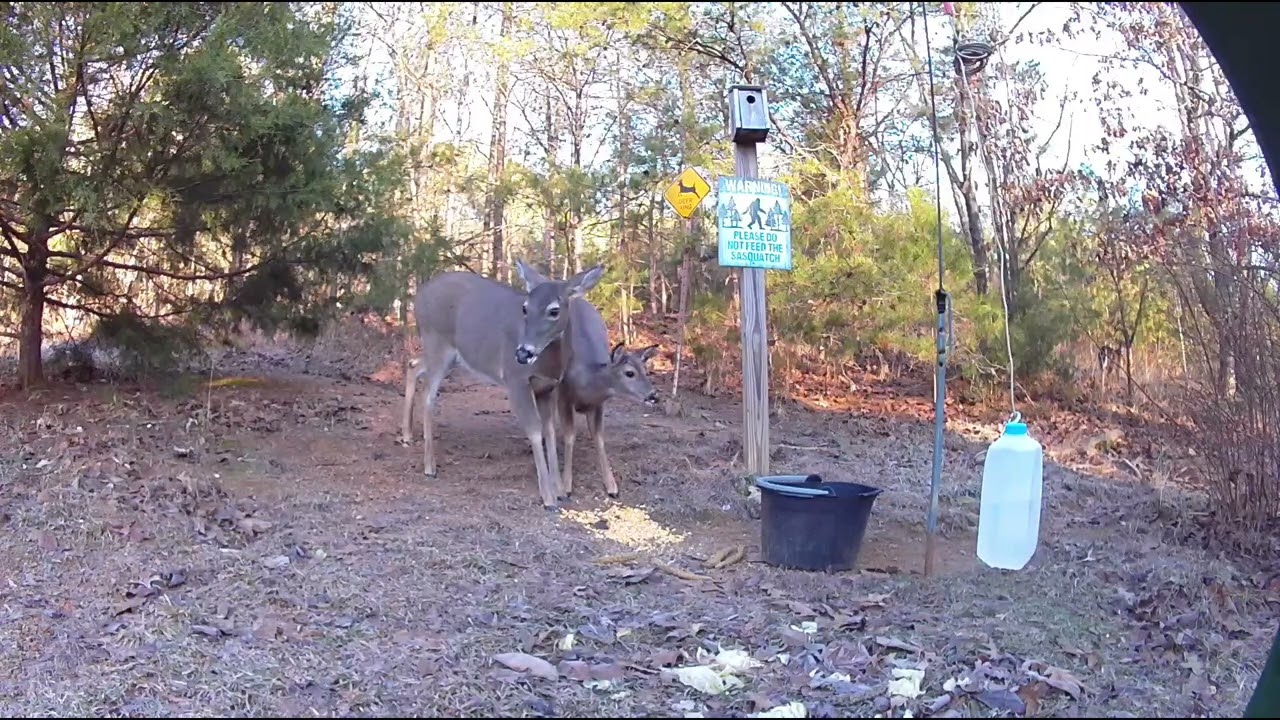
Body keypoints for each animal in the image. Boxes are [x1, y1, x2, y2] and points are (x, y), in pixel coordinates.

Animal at [400, 259, 605, 511]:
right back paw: (430, 467)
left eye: (554, 310)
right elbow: (534, 430)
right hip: (437, 341)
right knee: (428, 394)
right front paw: (548, 498)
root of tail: (418, 296)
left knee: (413, 364)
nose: (523, 353)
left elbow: (549, 430)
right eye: (525, 308)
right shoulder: (515, 380)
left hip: (451, 356)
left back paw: (407, 435)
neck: (548, 364)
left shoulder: (548, 387)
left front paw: (559, 490)